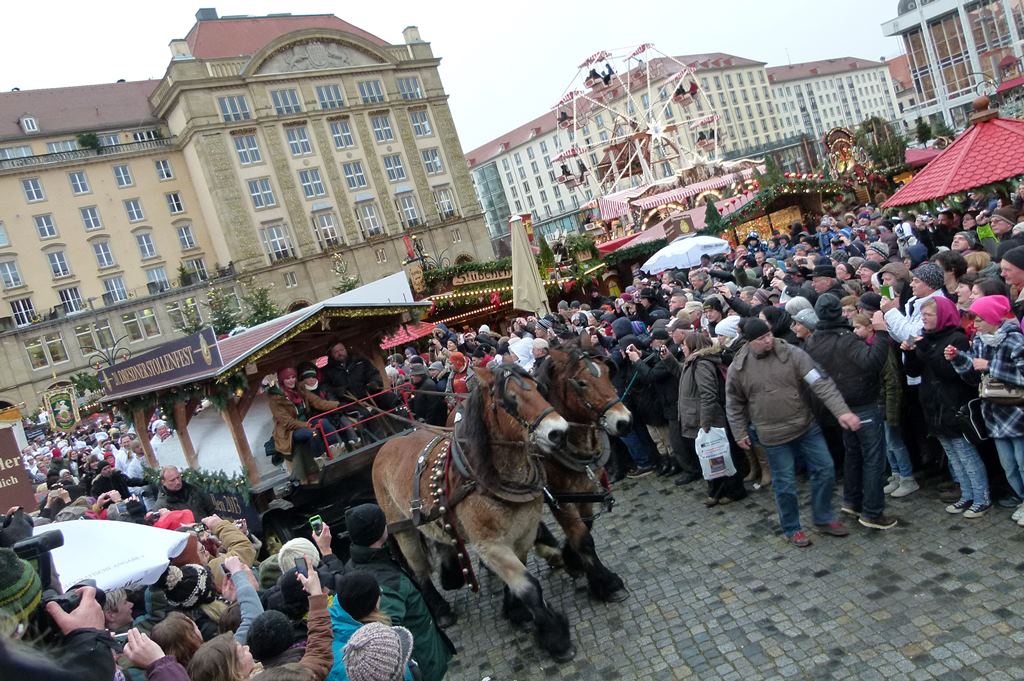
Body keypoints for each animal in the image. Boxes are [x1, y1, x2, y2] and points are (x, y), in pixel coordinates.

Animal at [372, 364, 577, 659]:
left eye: (538, 387)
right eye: (510, 399)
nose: (559, 432)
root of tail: (385, 446)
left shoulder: (523, 534)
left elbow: (519, 577)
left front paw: (515, 611)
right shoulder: (490, 544)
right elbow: (529, 587)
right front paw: (556, 637)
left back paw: (451, 574)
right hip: (402, 527)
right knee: (419, 569)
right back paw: (441, 609)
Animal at [532, 339, 634, 602]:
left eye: (608, 371)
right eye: (580, 382)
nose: (624, 421)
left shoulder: (586, 490)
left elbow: (585, 528)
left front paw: (573, 561)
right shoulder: (558, 497)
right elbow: (582, 538)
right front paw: (606, 582)